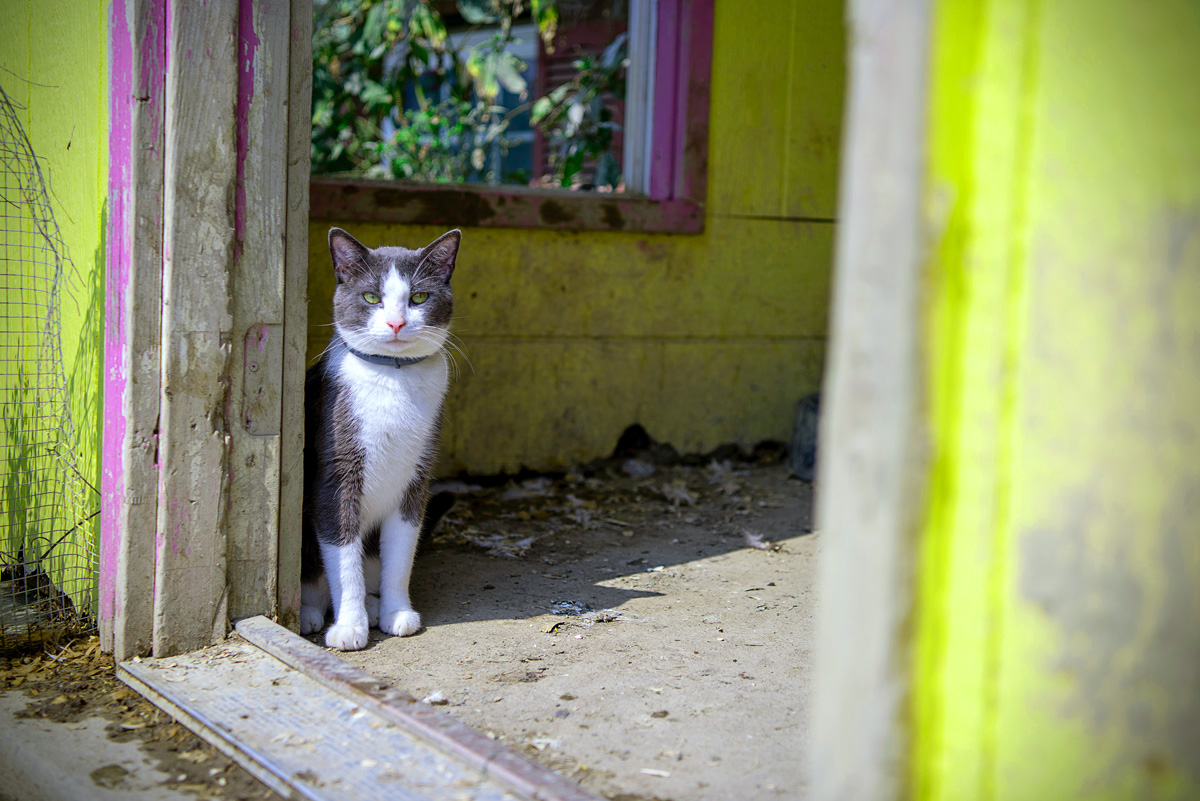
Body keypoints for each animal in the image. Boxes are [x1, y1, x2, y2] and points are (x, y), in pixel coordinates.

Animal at [302, 225, 460, 652]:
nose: (395, 324)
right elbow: (343, 559)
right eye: (372, 297)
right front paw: (349, 626)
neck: (393, 376)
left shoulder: (416, 476)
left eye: (418, 297)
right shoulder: (336, 475)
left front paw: (396, 612)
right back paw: (311, 612)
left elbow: (401, 554)